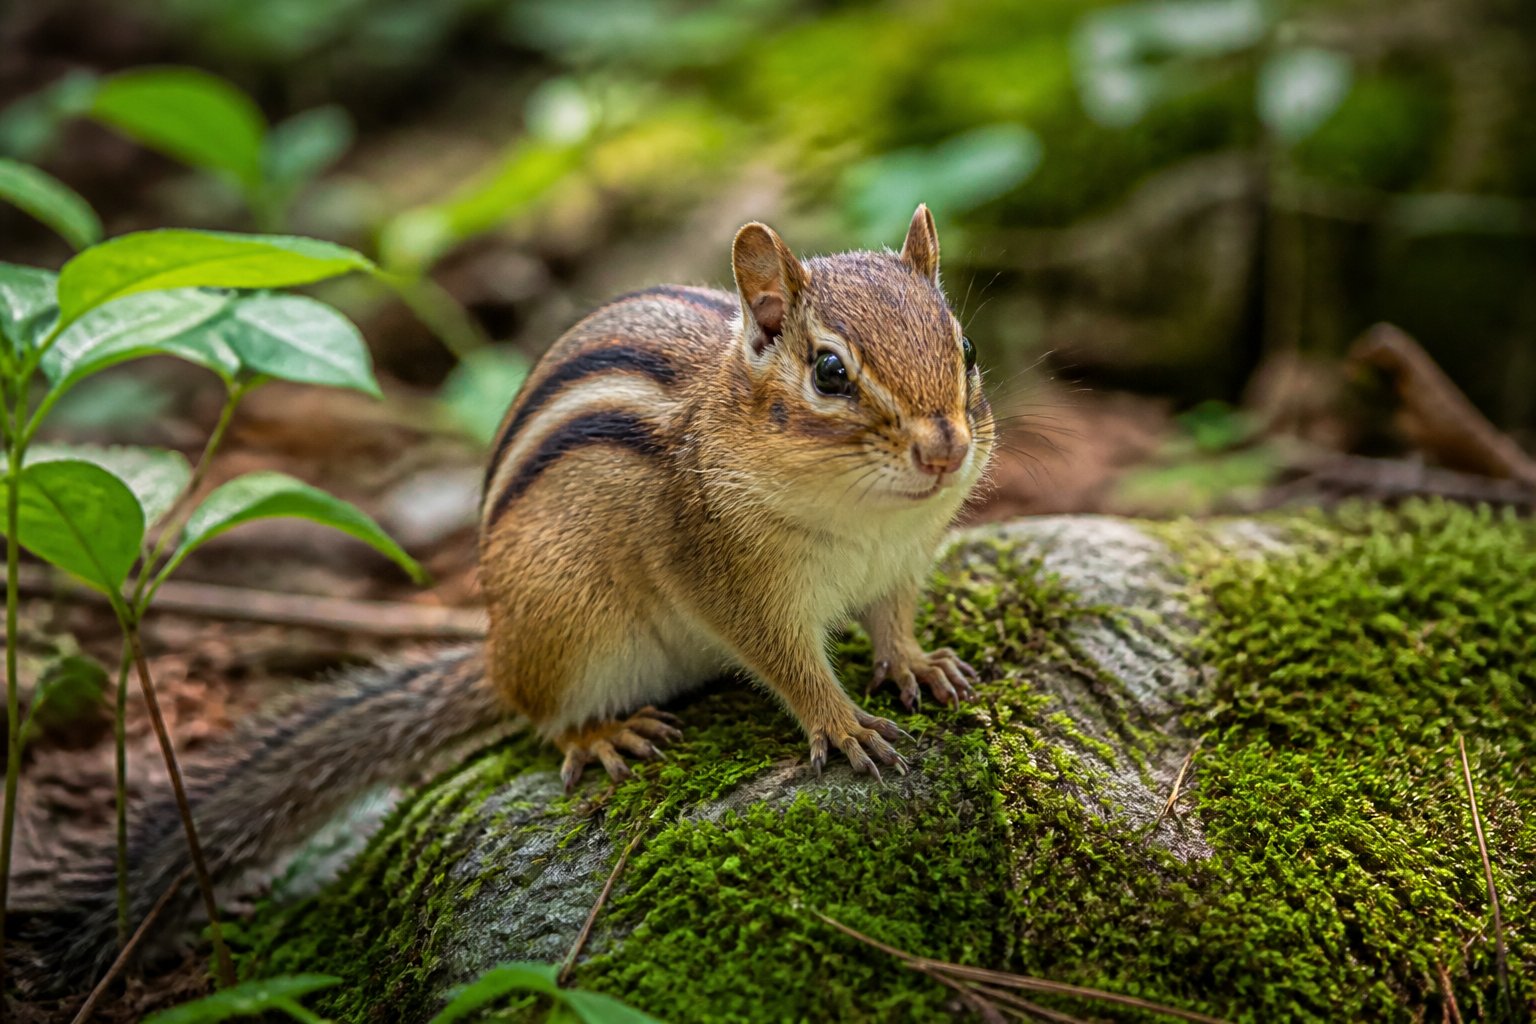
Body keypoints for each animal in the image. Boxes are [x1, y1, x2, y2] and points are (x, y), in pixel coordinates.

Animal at [35, 204, 994, 992]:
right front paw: (841, 724)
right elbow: (787, 664)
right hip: (569, 623)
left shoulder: (901, 563)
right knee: (541, 714)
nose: (945, 448)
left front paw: (917, 665)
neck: (864, 518)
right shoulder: (730, 578)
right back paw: (600, 734)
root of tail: (497, 649)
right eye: (830, 372)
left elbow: (893, 622)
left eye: (967, 350)